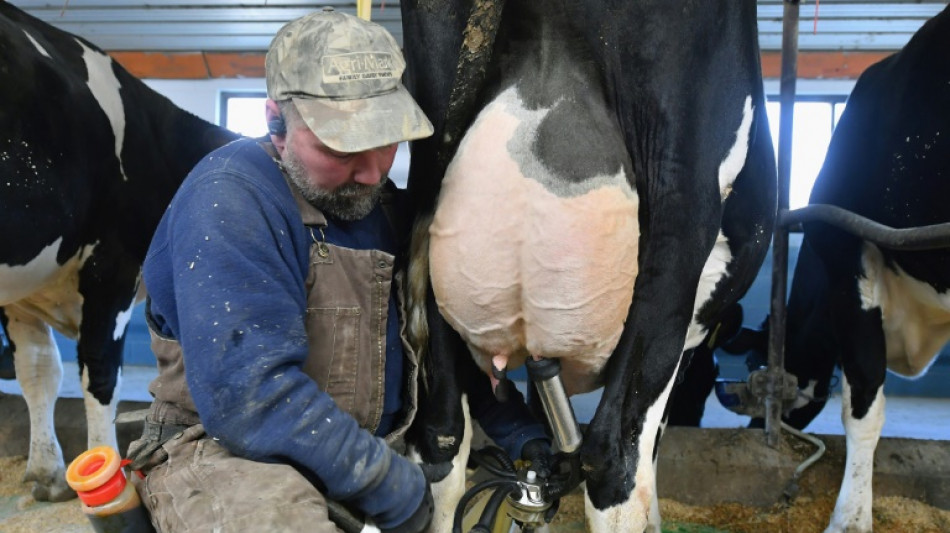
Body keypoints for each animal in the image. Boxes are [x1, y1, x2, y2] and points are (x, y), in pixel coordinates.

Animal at [0, 4, 238, 500]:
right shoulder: (113, 263)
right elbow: (100, 373)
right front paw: (105, 470)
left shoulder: (25, 291)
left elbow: (38, 371)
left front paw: (47, 474)